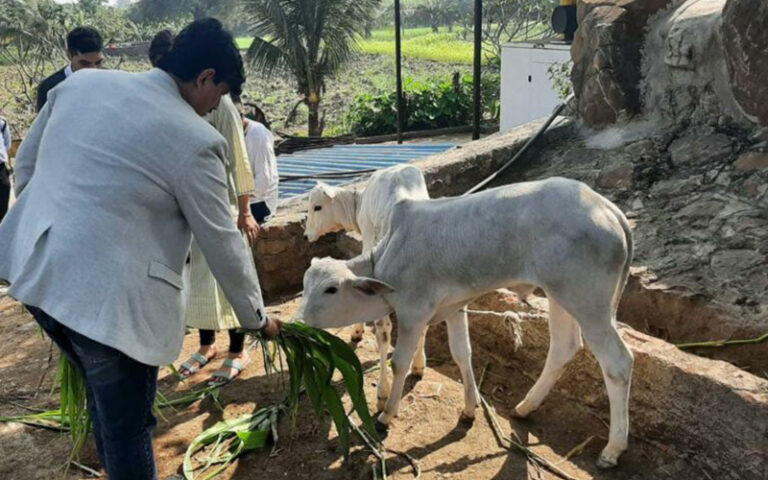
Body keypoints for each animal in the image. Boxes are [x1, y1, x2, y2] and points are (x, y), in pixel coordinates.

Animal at [302, 164, 432, 408]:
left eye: (317, 207)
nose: (306, 236)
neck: (357, 204)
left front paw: (357, 331)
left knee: (383, 332)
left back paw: (382, 392)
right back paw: (419, 365)